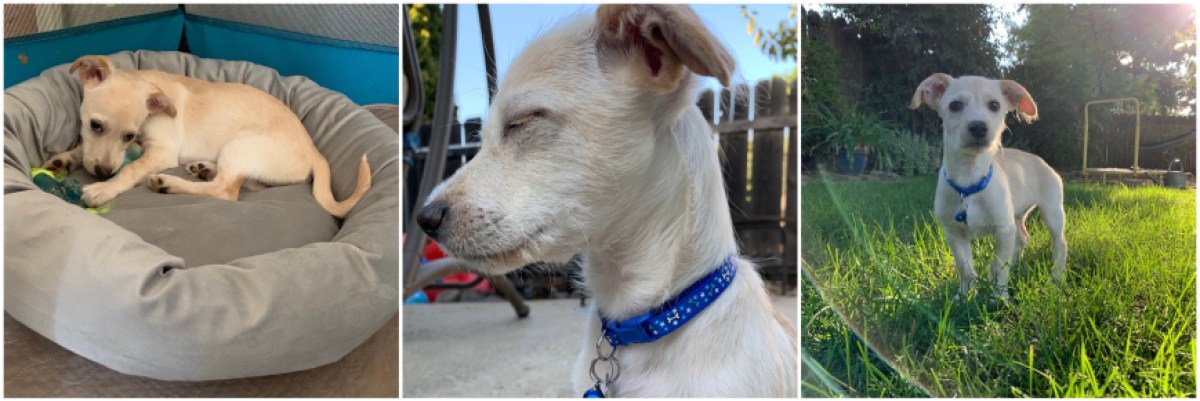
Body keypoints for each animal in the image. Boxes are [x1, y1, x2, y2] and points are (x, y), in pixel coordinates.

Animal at [42, 55, 369, 217]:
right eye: (95, 125)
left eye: (129, 136)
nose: (101, 172)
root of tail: (315, 150)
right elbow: (82, 149)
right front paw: (63, 160)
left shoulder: (161, 152)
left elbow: (131, 168)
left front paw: (104, 188)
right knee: (248, 183)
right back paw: (203, 168)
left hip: (240, 144)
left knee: (226, 191)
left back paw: (170, 184)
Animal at [907, 73, 1070, 298]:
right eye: (955, 105)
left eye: (994, 105)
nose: (978, 127)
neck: (970, 184)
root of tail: (1043, 162)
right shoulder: (954, 234)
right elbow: (965, 269)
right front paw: (965, 296)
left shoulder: (1003, 229)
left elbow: (998, 265)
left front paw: (998, 297)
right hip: (1016, 216)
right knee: (1023, 238)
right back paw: (1016, 265)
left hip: (1052, 212)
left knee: (1059, 243)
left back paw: (1056, 277)